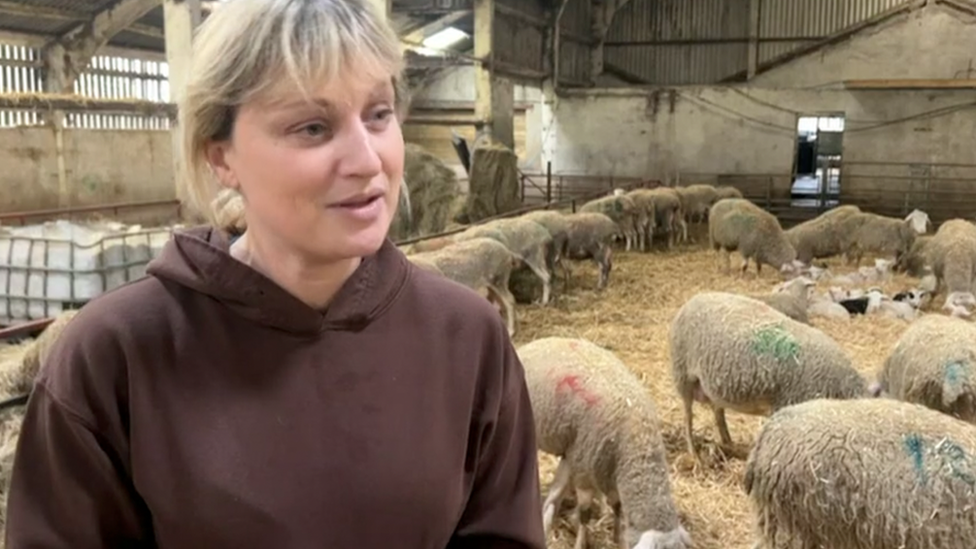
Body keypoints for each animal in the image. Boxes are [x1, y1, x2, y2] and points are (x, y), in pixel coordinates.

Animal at [520, 336, 692, 548]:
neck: (637, 441)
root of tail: (536, 343)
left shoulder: (608, 472)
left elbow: (617, 506)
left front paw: (618, 537)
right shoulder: (584, 472)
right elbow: (585, 514)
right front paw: (581, 542)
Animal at [668, 292, 864, 458]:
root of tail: (693, 299)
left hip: (712, 385)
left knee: (718, 413)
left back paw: (730, 444)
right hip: (683, 374)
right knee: (688, 417)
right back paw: (694, 454)